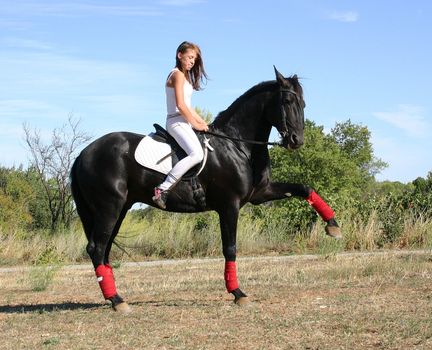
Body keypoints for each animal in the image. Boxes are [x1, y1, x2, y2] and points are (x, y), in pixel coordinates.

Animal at [71, 67, 340, 314]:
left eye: (303, 103)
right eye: (287, 101)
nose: (296, 140)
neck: (238, 145)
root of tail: (84, 154)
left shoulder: (260, 193)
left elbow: (304, 187)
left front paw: (333, 225)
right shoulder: (229, 205)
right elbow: (230, 248)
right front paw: (238, 293)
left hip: (120, 208)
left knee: (103, 249)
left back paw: (115, 297)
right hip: (110, 207)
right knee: (97, 248)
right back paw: (117, 300)